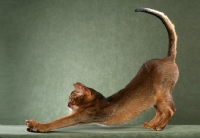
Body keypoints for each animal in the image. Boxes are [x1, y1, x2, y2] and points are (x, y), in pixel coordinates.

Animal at [25, 7, 178, 132]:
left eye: (72, 98)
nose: (67, 104)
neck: (97, 99)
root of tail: (167, 58)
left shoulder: (80, 116)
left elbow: (57, 122)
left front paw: (36, 125)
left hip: (162, 93)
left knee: (170, 110)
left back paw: (159, 126)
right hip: (153, 98)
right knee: (160, 111)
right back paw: (151, 124)